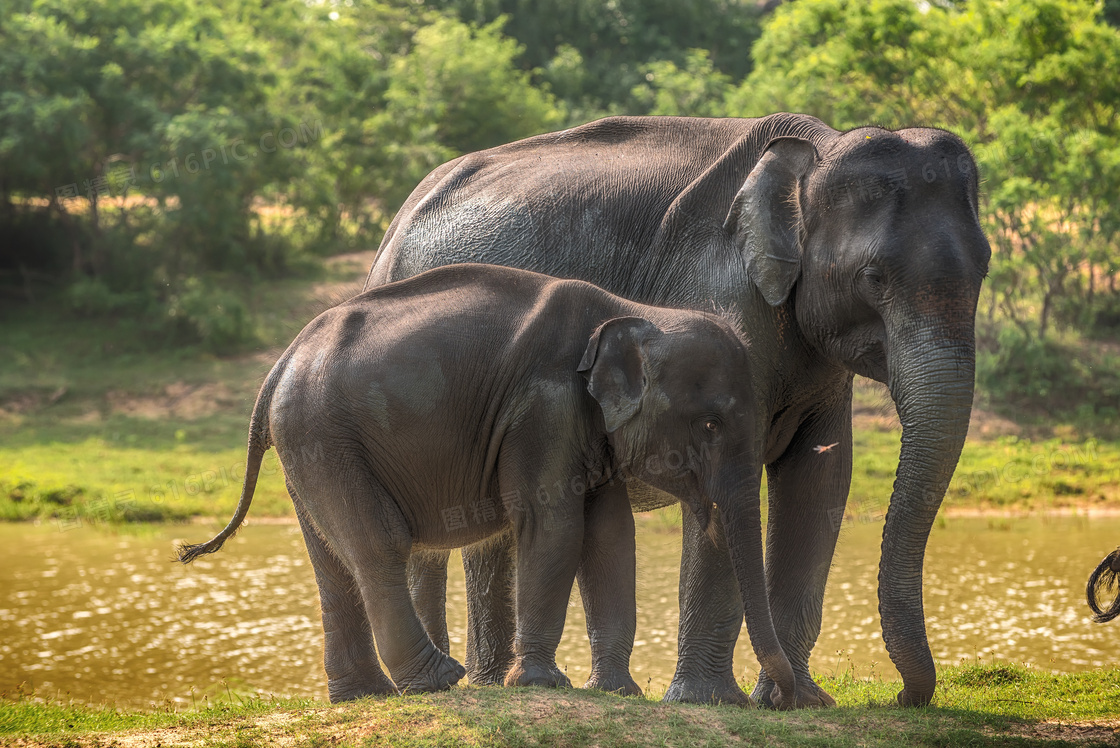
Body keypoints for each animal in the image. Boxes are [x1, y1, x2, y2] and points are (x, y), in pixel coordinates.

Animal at [179, 263, 792, 703]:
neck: (633, 313)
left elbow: (610, 536)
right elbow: (553, 526)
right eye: (710, 424)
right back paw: (438, 681)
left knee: (333, 562)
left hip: (305, 447)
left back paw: (364, 697)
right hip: (325, 437)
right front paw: (542, 685)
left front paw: (617, 693)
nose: (784, 700)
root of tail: (278, 366)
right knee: (378, 546)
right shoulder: (543, 408)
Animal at [360, 114, 990, 712]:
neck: (818, 147)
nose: (903, 697)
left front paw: (801, 702)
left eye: (984, 268)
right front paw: (713, 700)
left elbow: (819, 480)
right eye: (873, 278)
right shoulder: (720, 297)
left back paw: (491, 683)